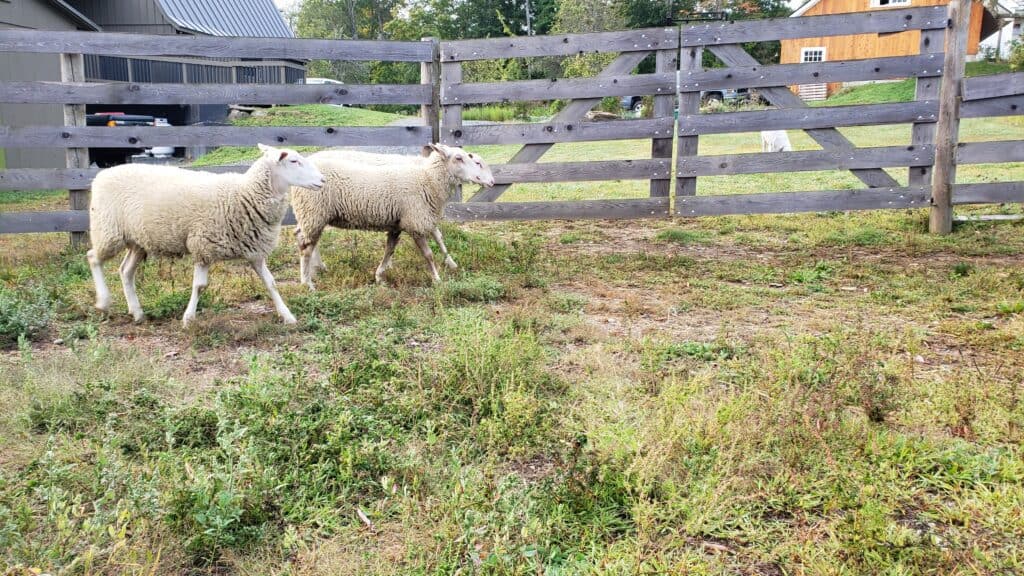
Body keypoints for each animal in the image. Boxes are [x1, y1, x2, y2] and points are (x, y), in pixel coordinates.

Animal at [91, 142, 325, 325]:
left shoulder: (254, 250)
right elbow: (200, 286)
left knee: (125, 271)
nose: (323, 180)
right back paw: (103, 302)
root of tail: (102, 174)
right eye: (294, 161)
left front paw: (288, 316)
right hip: (107, 230)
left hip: (138, 240)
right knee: (93, 258)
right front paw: (188, 318)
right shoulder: (202, 246)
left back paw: (137, 313)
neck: (244, 194)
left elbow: (271, 283)